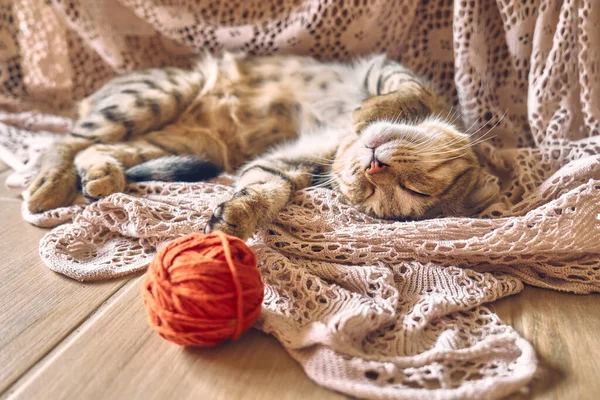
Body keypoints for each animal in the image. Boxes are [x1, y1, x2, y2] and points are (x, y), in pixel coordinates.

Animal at [25, 53, 488, 241]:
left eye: (409, 191)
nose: (372, 169)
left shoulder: (286, 162)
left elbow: (267, 190)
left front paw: (235, 219)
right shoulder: (383, 69)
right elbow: (406, 93)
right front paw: (366, 112)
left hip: (187, 142)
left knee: (98, 148)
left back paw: (100, 176)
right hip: (155, 95)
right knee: (66, 140)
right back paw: (49, 186)